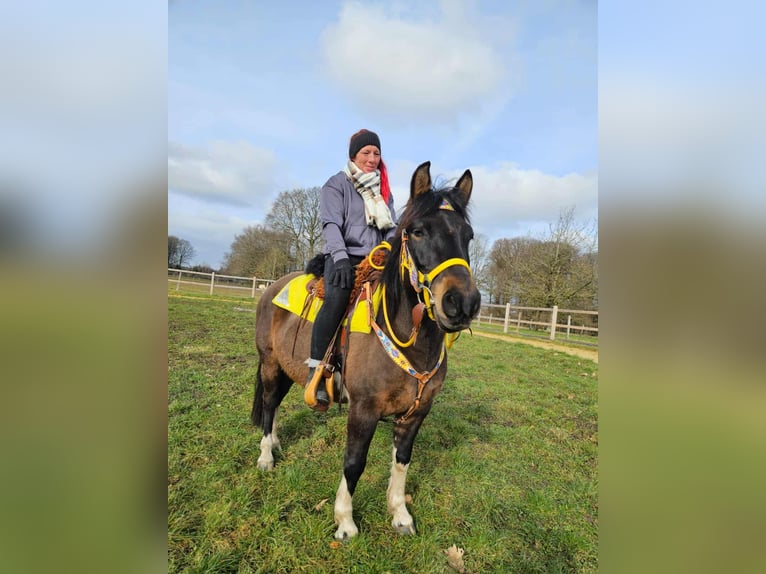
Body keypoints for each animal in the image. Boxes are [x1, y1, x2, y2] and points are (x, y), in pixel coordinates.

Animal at [251, 161, 481, 539]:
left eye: (468, 235)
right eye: (418, 231)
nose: (462, 303)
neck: (406, 341)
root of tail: (272, 287)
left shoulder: (416, 414)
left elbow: (402, 462)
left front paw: (400, 515)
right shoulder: (363, 411)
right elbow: (354, 463)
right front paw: (345, 521)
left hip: (285, 368)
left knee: (275, 405)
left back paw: (276, 444)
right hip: (269, 363)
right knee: (269, 404)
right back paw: (266, 457)